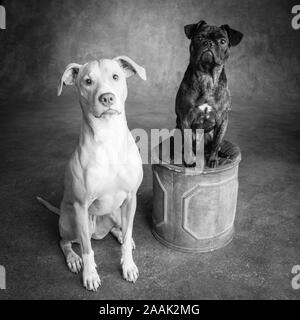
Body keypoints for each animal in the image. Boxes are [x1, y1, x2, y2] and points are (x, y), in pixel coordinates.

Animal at [37, 56, 146, 292]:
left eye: (115, 77)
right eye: (88, 81)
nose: (107, 97)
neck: (108, 139)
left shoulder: (131, 199)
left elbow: (129, 233)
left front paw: (128, 265)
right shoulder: (80, 207)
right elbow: (87, 249)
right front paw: (90, 274)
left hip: (116, 212)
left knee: (119, 229)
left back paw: (121, 236)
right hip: (72, 221)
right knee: (66, 241)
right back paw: (73, 258)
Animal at [175, 20, 243, 168]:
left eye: (222, 41)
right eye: (199, 37)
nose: (209, 43)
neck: (206, 76)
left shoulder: (222, 120)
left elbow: (217, 143)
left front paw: (213, 159)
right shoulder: (185, 119)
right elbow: (187, 143)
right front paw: (190, 161)